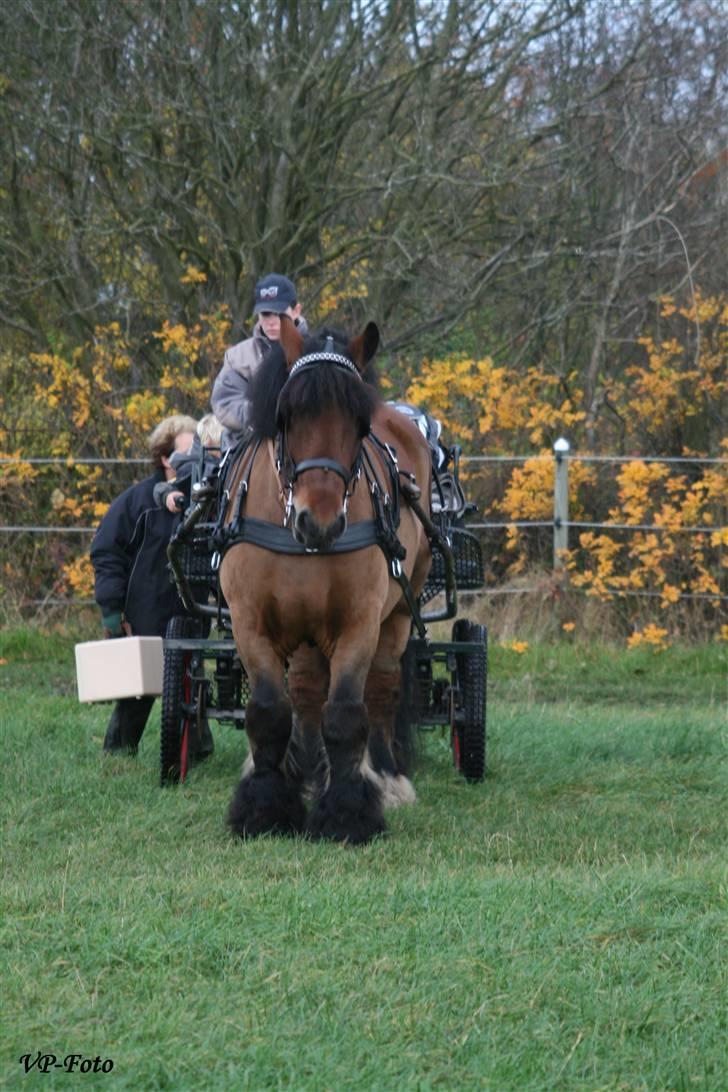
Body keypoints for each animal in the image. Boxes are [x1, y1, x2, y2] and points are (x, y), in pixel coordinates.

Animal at [216, 318, 432, 838]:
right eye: (287, 416)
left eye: (359, 425)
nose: (321, 521)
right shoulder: (249, 622)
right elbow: (270, 712)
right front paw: (265, 806)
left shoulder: (359, 622)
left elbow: (347, 713)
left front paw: (348, 812)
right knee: (306, 693)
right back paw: (309, 773)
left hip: (399, 611)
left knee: (381, 688)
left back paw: (385, 775)